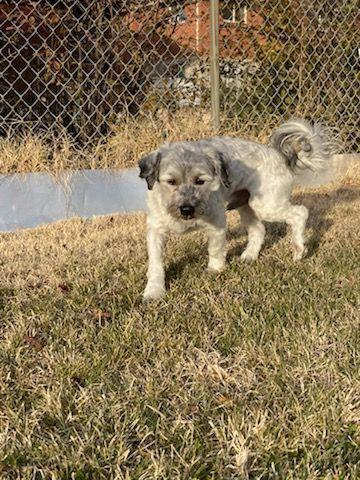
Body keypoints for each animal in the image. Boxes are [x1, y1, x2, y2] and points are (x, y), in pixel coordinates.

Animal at [139, 117, 338, 298]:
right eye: (171, 181)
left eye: (200, 181)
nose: (186, 209)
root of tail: (279, 155)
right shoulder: (155, 231)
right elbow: (156, 264)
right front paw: (154, 291)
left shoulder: (217, 223)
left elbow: (215, 250)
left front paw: (214, 271)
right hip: (247, 207)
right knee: (259, 230)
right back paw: (248, 256)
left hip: (266, 205)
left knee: (300, 213)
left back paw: (298, 249)